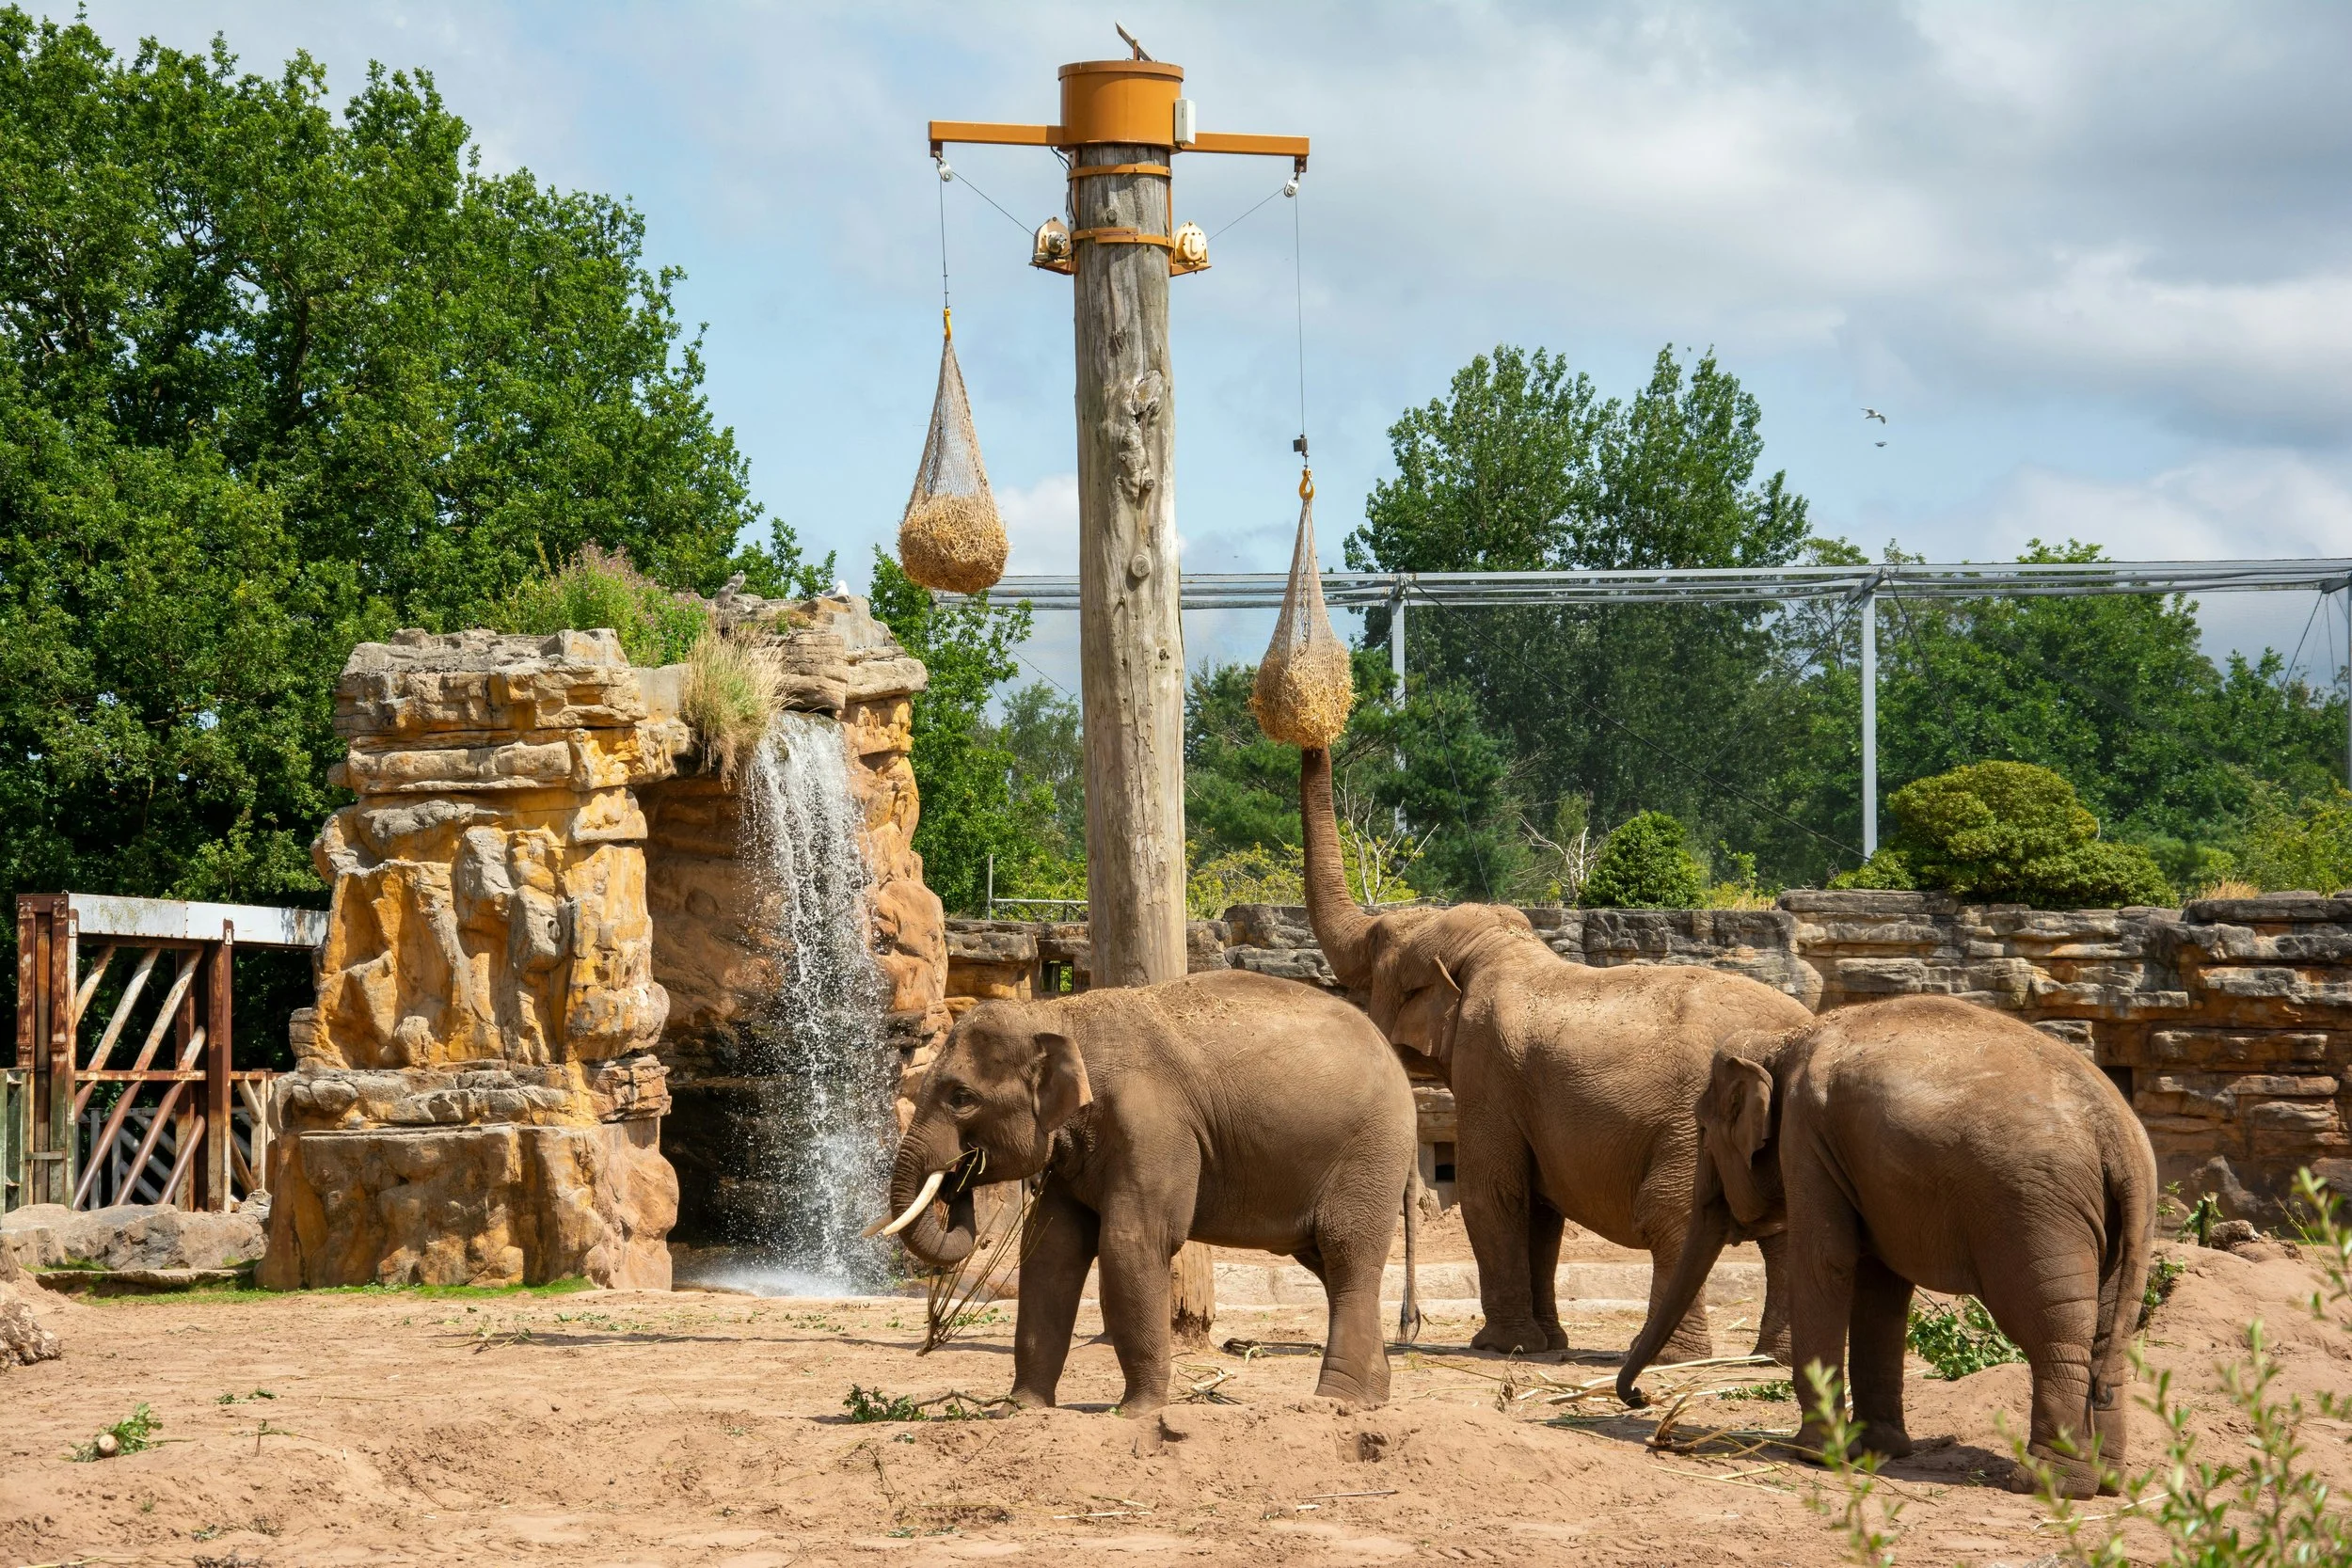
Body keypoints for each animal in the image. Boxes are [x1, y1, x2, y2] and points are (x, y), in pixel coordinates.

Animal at [880, 967, 1418, 1416]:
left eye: (962, 1098)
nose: (958, 1174)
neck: (1057, 1015)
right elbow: (1050, 1251)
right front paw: (1020, 1411)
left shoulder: (1151, 1124)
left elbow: (1131, 1244)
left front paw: (1137, 1413)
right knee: (1329, 1266)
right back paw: (1373, 1398)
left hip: (1371, 1153)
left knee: (1348, 1255)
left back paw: (1336, 1402)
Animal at [1300, 747, 1815, 1362]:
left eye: (1377, 951)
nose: (1409, 1325)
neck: (1495, 949)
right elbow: (1540, 1210)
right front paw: (1547, 1343)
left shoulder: (1487, 1067)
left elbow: (1491, 1193)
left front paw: (1500, 1346)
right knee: (1781, 1227)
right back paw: (1775, 1357)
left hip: (1690, 1127)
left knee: (1674, 1214)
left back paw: (1673, 1356)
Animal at [1615, 995, 2157, 1498]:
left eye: (1704, 1131)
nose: (1640, 1397)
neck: (1783, 1039)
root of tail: (2118, 1133)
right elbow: (1879, 1284)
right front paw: (1879, 1450)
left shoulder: (1805, 1134)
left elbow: (1825, 1260)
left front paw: (1815, 1453)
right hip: (2126, 1223)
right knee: (2108, 1333)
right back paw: (2107, 1481)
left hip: (2033, 1215)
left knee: (2054, 1333)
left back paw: (2048, 1482)